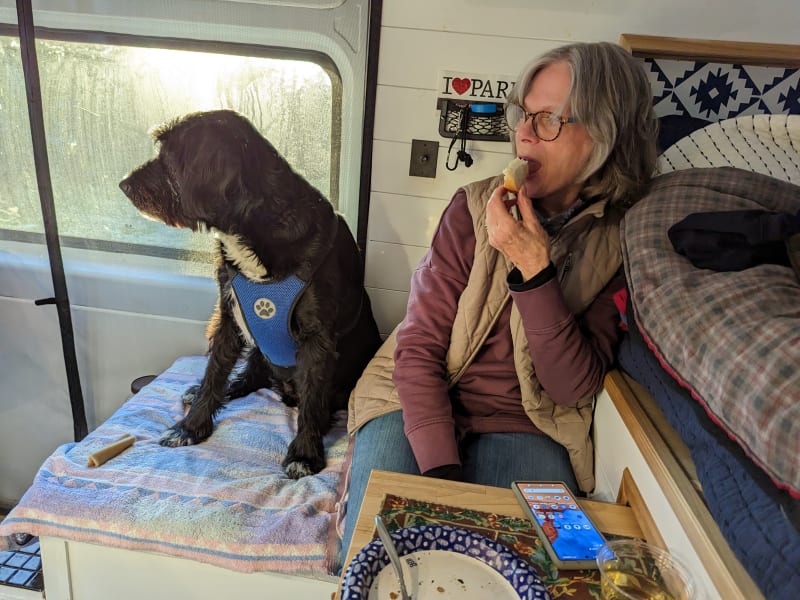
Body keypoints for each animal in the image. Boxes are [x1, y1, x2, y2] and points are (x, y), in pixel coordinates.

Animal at [117, 109, 382, 478]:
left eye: (169, 157)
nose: (124, 183)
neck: (251, 228)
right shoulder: (228, 317)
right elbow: (214, 373)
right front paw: (191, 426)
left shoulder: (317, 339)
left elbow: (313, 399)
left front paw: (304, 453)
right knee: (251, 374)